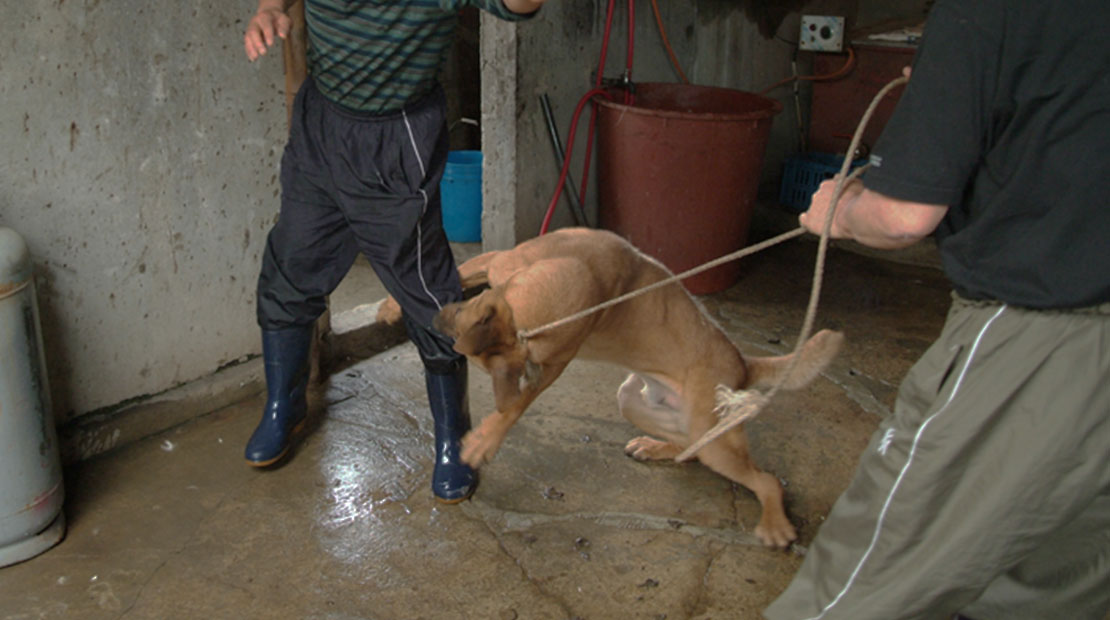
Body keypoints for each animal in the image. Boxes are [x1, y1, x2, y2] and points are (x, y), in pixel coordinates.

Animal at [381, 229, 839, 547]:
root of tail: (743, 363)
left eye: (459, 327)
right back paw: (657, 447)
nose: (435, 318)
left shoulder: (551, 363)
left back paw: (775, 524)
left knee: (766, 481)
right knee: (689, 449)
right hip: (638, 404)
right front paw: (389, 305)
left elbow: (514, 406)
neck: (584, 276)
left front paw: (485, 440)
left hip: (718, 442)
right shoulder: (500, 266)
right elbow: (464, 269)